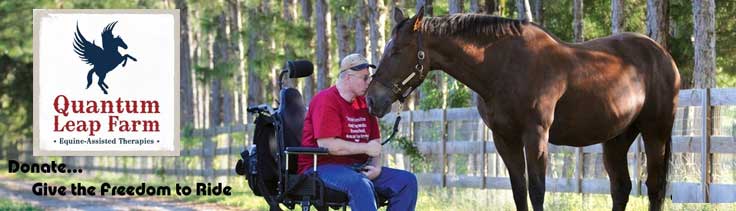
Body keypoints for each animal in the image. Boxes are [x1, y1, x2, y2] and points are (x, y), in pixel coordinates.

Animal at [366, 7, 680, 210]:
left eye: (396, 51)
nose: (372, 99)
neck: (504, 67)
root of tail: (663, 55)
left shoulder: (535, 135)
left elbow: (537, 190)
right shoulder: (504, 138)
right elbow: (519, 190)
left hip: (655, 133)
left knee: (654, 188)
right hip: (616, 138)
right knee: (621, 188)